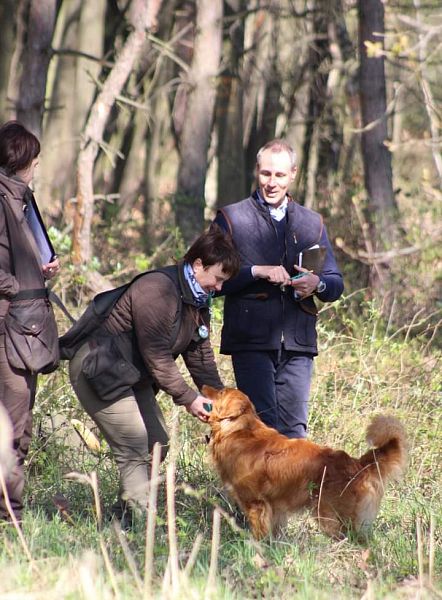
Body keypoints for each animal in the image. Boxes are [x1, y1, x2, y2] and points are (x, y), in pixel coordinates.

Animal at [204, 386, 408, 540]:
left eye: (221, 392)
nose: (204, 386)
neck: (240, 431)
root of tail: (357, 464)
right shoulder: (275, 508)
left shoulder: (256, 504)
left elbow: (259, 533)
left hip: (331, 516)